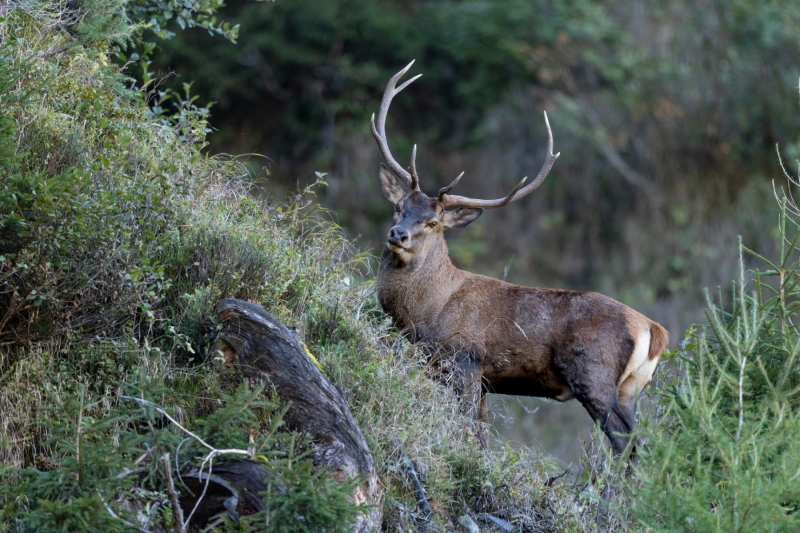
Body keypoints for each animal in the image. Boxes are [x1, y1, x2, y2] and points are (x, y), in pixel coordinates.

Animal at [371, 61, 668, 456]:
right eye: (398, 207)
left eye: (433, 222)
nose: (397, 234)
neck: (425, 312)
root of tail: (653, 330)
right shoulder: (474, 377)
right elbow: (481, 435)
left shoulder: (465, 360)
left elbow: (468, 428)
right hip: (630, 388)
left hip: (595, 377)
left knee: (626, 444)